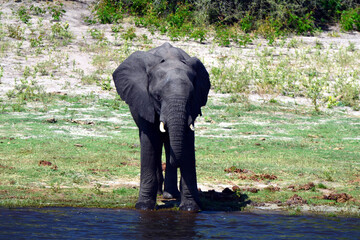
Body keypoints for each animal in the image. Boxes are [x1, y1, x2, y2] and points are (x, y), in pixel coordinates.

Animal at [111, 42, 210, 211]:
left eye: (191, 97)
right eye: (157, 97)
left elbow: (187, 142)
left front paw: (190, 208)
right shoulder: (144, 100)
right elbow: (150, 141)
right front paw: (144, 207)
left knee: (168, 143)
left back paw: (170, 195)